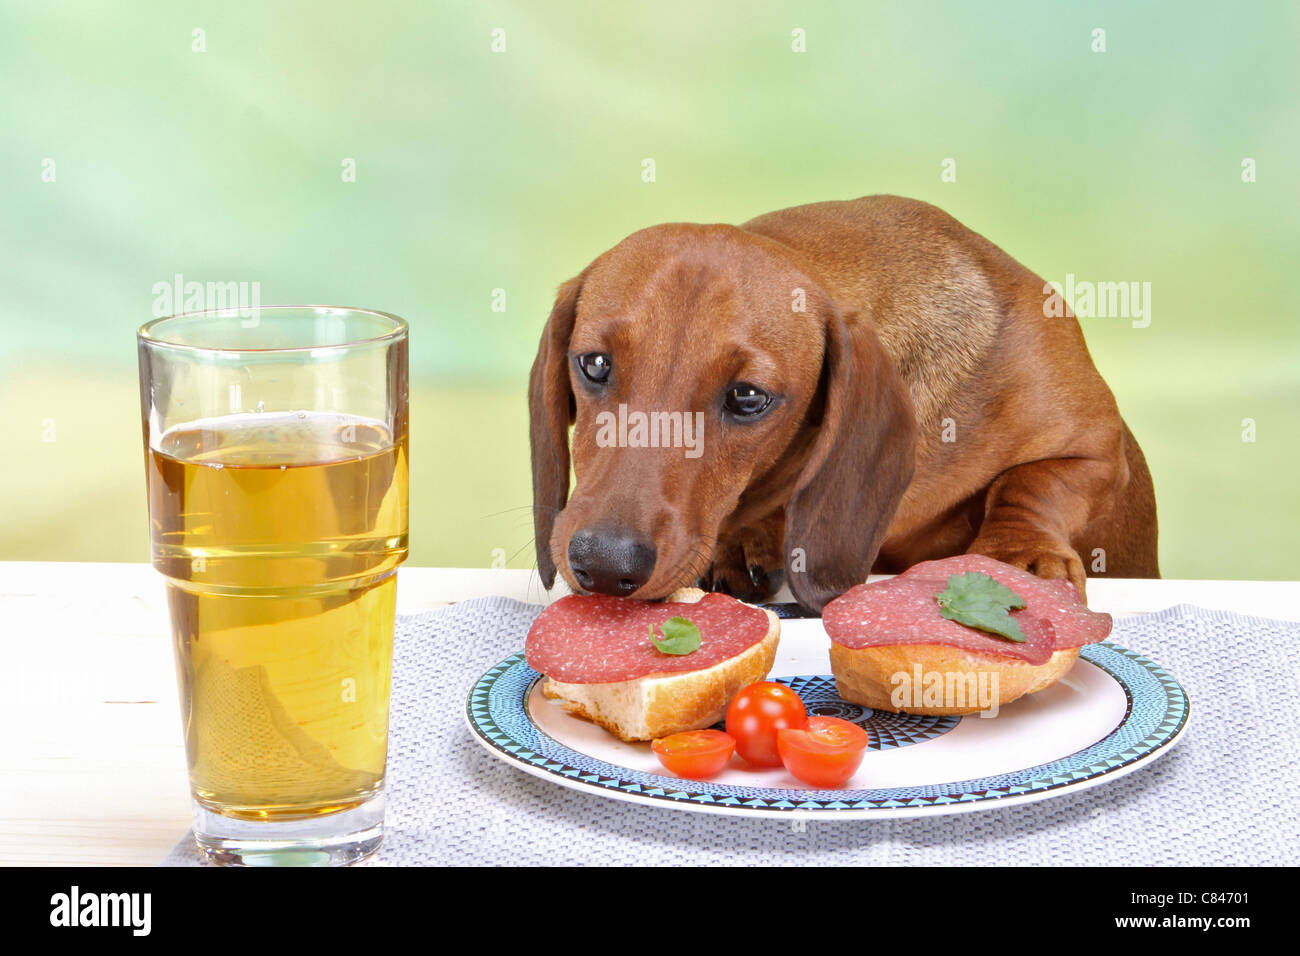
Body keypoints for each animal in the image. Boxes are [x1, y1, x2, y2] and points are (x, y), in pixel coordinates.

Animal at [527, 195, 1159, 613]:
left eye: (748, 397)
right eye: (595, 364)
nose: (604, 566)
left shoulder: (1096, 449)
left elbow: (1030, 484)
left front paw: (1015, 555)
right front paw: (742, 542)